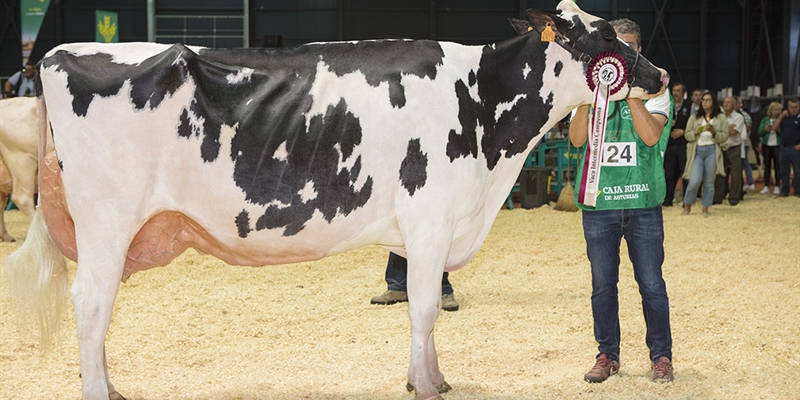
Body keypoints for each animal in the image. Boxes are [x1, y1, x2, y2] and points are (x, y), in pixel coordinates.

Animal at [6, 1, 668, 398]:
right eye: (602, 35)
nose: (661, 75)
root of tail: (56, 54)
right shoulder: (430, 220)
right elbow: (424, 308)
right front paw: (427, 384)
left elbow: (423, 310)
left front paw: (429, 378)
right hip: (107, 222)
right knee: (91, 304)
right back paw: (100, 391)